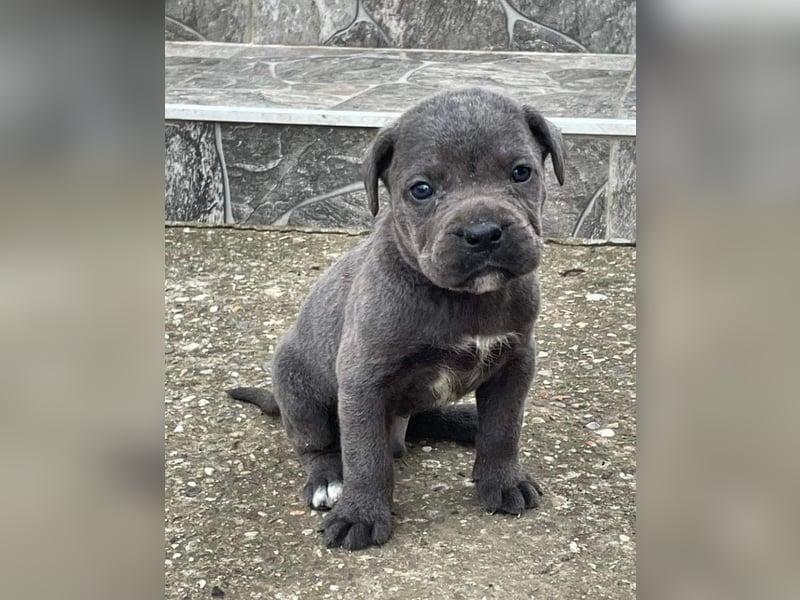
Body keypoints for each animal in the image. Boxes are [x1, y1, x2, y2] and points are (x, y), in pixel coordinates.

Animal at [231, 86, 564, 552]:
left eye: (521, 172)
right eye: (421, 190)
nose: (483, 233)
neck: (460, 299)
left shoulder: (516, 361)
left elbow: (503, 427)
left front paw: (502, 481)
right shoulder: (362, 380)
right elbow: (366, 455)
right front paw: (361, 514)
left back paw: (466, 421)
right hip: (296, 384)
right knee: (318, 445)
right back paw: (327, 480)